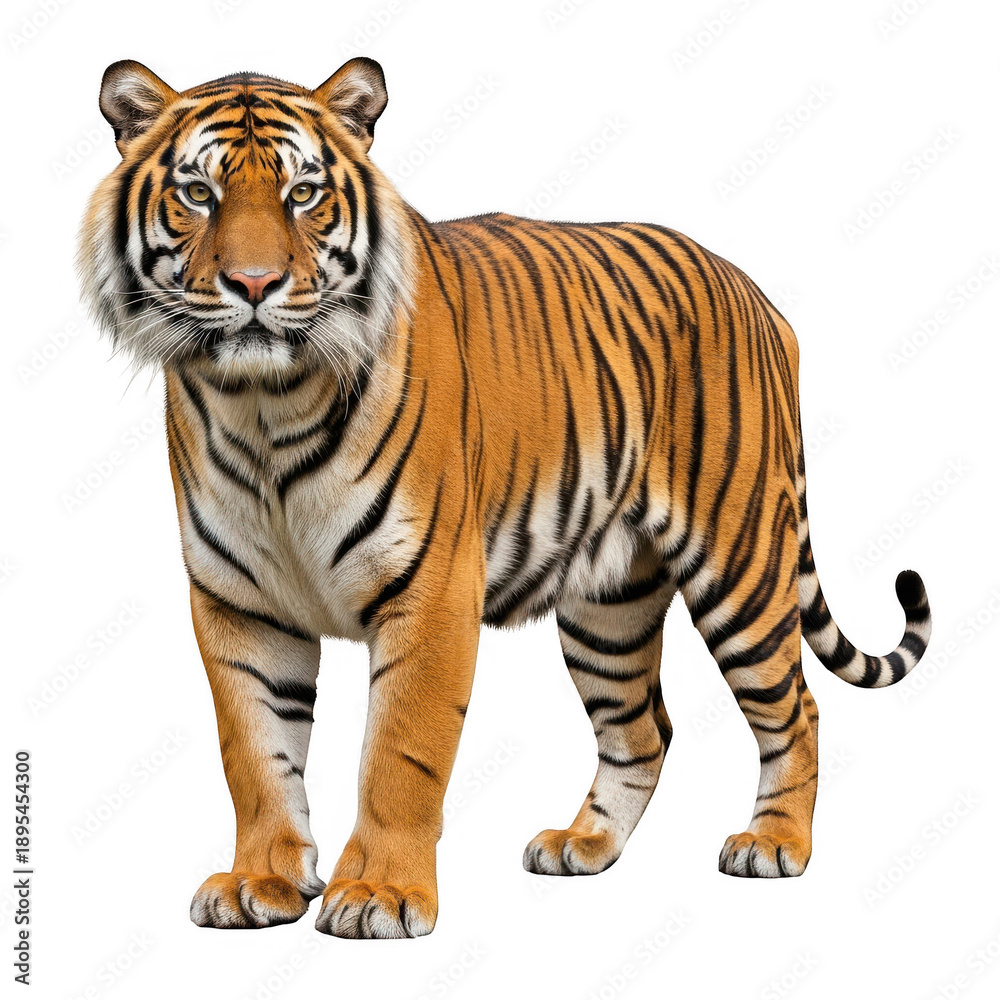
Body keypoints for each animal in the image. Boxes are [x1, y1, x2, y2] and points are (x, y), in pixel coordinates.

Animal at [78, 57, 932, 939]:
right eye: (198, 194)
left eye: (303, 194)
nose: (253, 283)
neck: (262, 406)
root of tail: (759, 295)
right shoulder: (239, 603)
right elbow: (254, 752)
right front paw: (262, 881)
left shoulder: (430, 590)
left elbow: (399, 753)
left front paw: (379, 893)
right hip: (608, 604)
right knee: (642, 728)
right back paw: (585, 844)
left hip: (741, 563)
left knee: (797, 708)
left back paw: (774, 844)